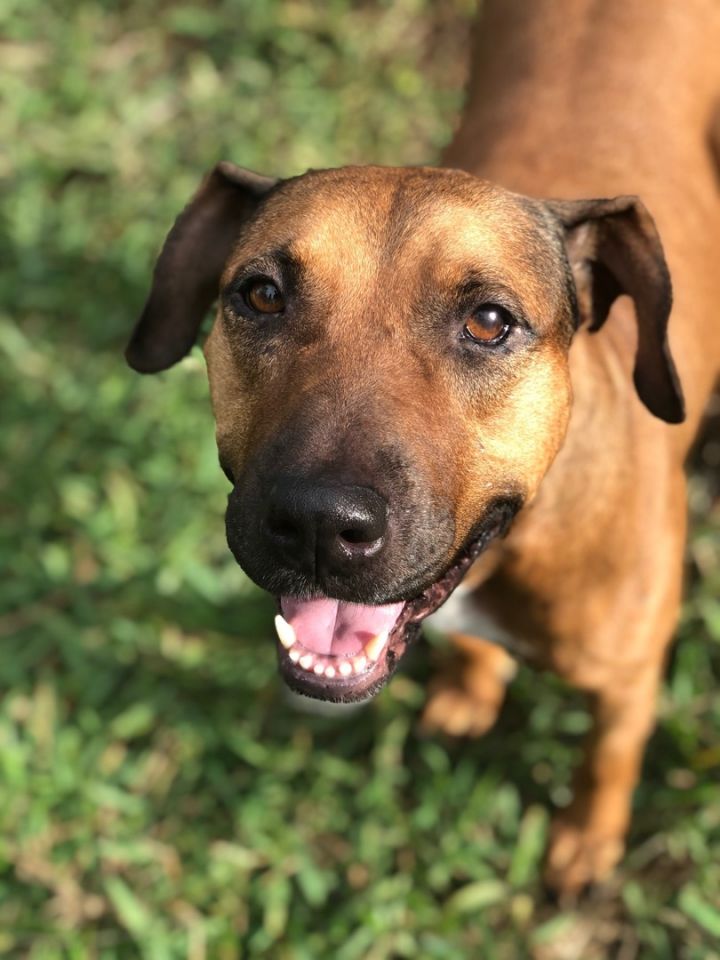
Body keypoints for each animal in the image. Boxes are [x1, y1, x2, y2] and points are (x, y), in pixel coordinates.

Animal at [125, 0, 720, 896]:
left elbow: (606, 763)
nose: (317, 524)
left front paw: (585, 843)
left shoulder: (628, 684)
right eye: (259, 295)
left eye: (490, 321)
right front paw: (469, 695)